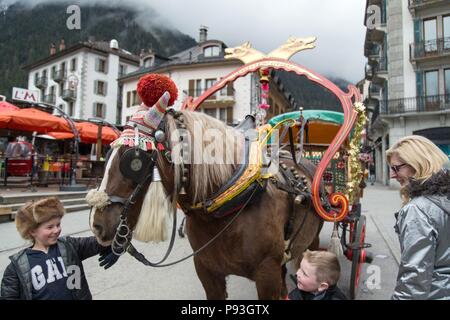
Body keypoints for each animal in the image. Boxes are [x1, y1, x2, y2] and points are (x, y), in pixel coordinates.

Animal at [89, 108, 324, 300]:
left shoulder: (268, 273)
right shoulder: (206, 269)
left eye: (134, 161)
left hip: (312, 241)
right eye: (107, 153)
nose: (97, 225)